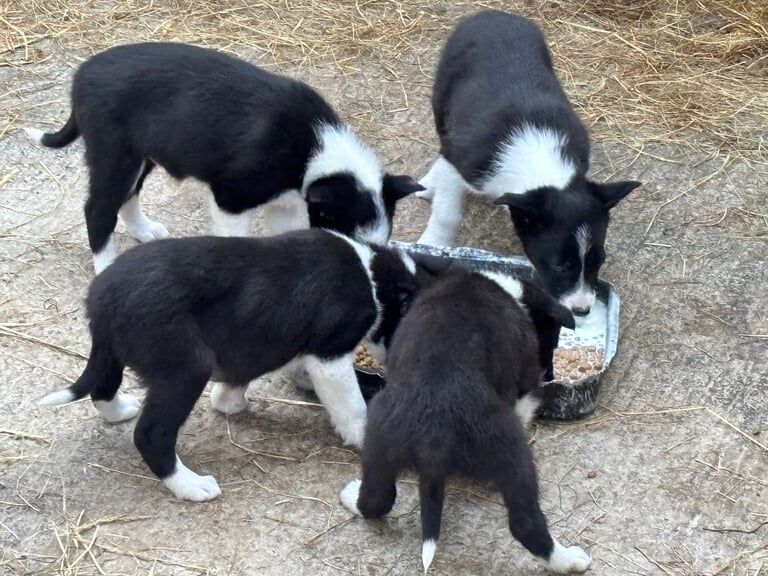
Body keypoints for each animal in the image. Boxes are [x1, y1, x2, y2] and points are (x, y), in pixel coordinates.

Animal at [24, 42, 424, 272]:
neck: (314, 147)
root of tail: (82, 75)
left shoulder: (285, 204)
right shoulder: (232, 198)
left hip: (140, 155)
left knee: (128, 195)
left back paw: (144, 231)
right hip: (114, 152)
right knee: (99, 208)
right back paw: (106, 266)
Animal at [340, 268, 592, 572]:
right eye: (552, 341)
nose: (551, 375)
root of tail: (434, 431)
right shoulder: (526, 377)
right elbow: (524, 404)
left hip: (379, 431)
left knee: (378, 497)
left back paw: (351, 497)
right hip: (510, 448)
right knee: (526, 524)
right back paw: (569, 561)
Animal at [416, 9, 640, 316]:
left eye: (600, 261)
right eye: (560, 266)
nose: (582, 310)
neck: (538, 159)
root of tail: (492, 13)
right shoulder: (460, 162)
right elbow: (447, 213)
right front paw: (432, 244)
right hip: (442, 97)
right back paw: (429, 183)